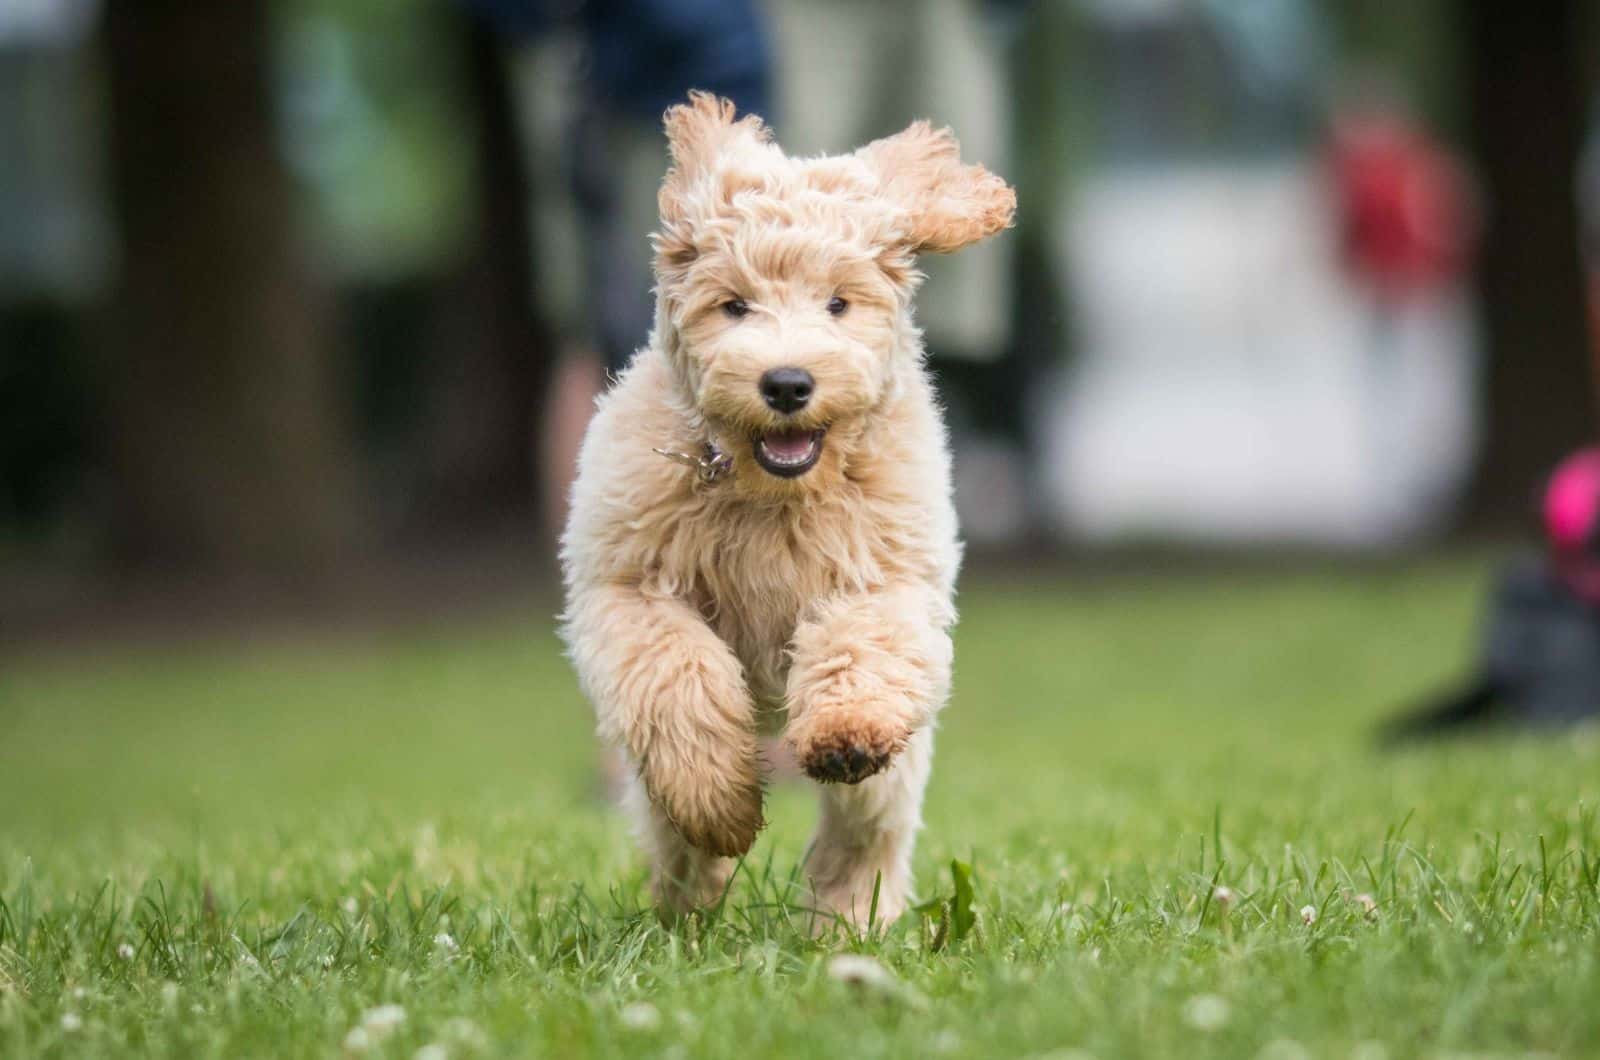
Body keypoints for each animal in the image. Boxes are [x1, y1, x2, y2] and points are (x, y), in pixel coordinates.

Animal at [563, 95, 1011, 935]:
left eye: (838, 302)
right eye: (733, 305)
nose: (787, 383)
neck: (768, 493)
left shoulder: (887, 579)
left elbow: (861, 646)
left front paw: (844, 732)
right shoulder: (629, 589)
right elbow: (678, 676)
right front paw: (717, 800)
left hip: (894, 768)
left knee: (864, 831)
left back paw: (848, 920)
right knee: (671, 829)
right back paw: (689, 902)